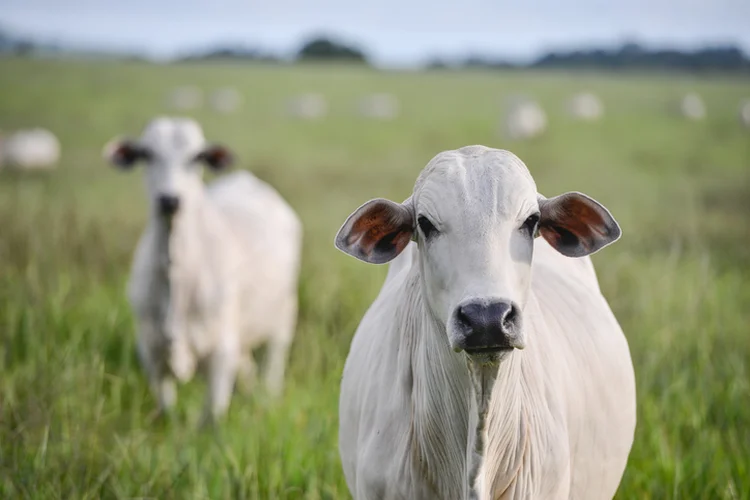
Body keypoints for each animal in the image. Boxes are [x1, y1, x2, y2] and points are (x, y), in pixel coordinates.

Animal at [103, 116, 302, 426]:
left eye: (196, 157)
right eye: (147, 154)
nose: (169, 200)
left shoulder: (221, 352)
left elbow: (212, 417)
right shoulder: (150, 349)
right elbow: (167, 409)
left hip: (282, 318)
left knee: (272, 368)